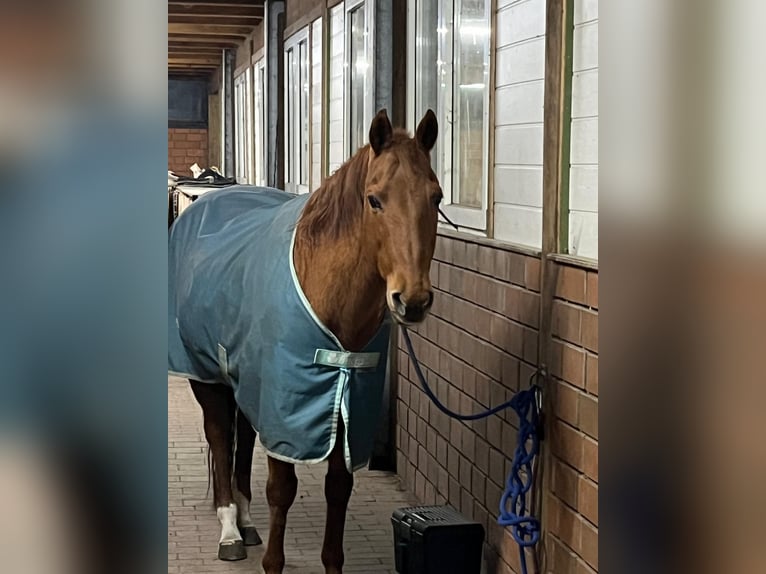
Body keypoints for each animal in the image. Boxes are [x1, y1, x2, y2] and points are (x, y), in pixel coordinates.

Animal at [168, 108, 440, 573]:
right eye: (375, 199)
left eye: (437, 198)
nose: (413, 300)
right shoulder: (288, 411)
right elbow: (282, 489)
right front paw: (272, 562)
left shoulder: (348, 410)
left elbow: (338, 489)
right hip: (206, 376)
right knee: (220, 437)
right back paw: (229, 530)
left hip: (247, 382)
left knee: (243, 441)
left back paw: (246, 521)